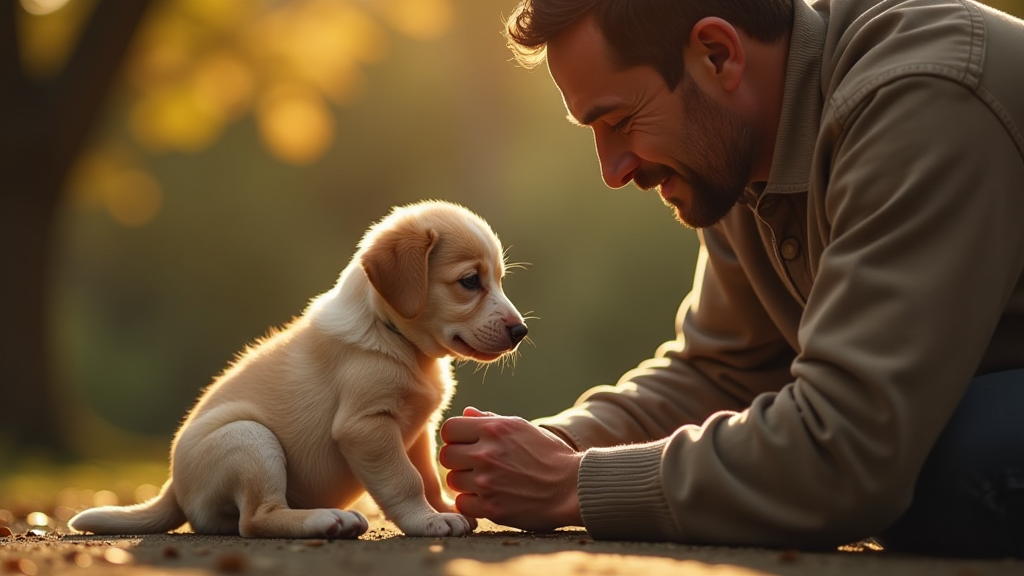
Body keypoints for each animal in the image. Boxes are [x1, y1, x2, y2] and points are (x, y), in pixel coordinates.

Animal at [70, 199, 528, 537]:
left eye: (499, 279)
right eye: (470, 281)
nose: (521, 331)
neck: (393, 336)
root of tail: (171, 486)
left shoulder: (417, 431)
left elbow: (428, 475)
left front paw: (441, 507)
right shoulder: (366, 426)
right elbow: (405, 479)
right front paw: (428, 521)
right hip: (250, 439)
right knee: (255, 519)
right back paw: (328, 520)